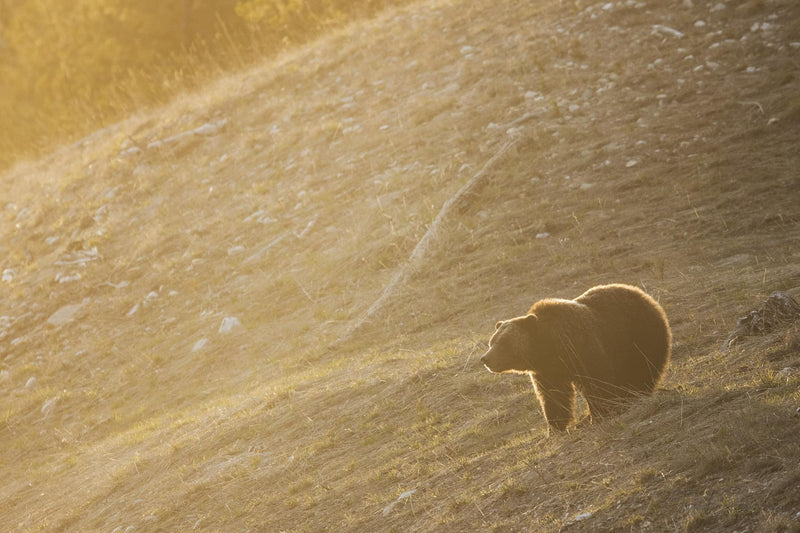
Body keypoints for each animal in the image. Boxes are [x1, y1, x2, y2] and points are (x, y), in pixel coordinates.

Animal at [478, 284, 672, 430]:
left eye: (503, 342)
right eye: (492, 342)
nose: (485, 358)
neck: (547, 348)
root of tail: (642, 294)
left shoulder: (580, 348)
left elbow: (596, 381)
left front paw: (600, 414)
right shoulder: (546, 370)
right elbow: (553, 395)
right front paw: (555, 426)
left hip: (637, 334)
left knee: (640, 369)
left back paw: (632, 395)